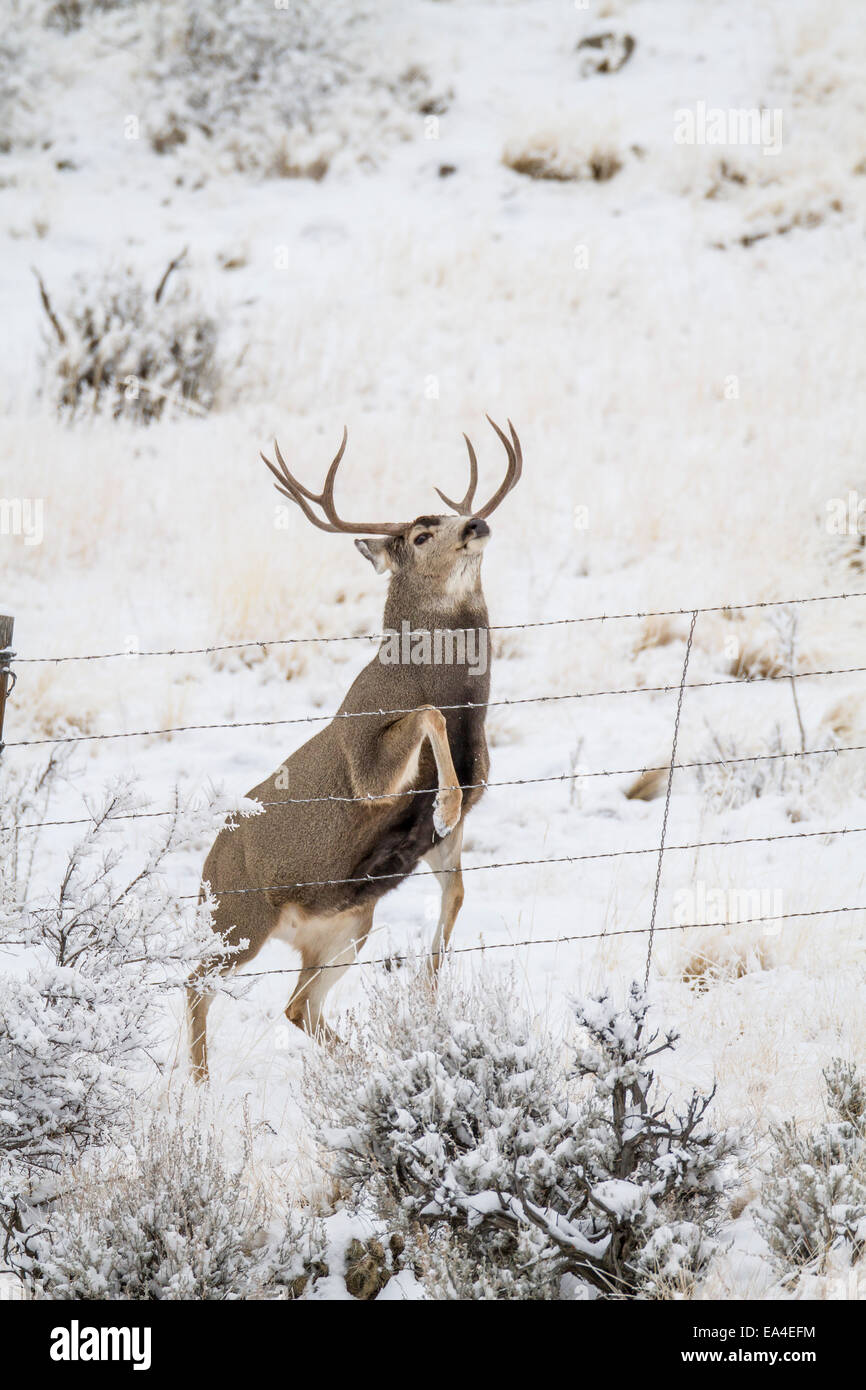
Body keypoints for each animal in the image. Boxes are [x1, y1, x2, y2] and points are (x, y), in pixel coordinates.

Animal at [188, 417, 522, 1081]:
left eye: (456, 513)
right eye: (421, 534)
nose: (476, 523)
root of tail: (207, 870)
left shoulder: (442, 837)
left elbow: (456, 896)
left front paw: (430, 997)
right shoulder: (367, 764)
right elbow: (423, 718)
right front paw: (443, 800)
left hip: (345, 927)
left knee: (297, 1006)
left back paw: (369, 1068)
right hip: (239, 920)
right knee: (196, 983)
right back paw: (197, 1089)